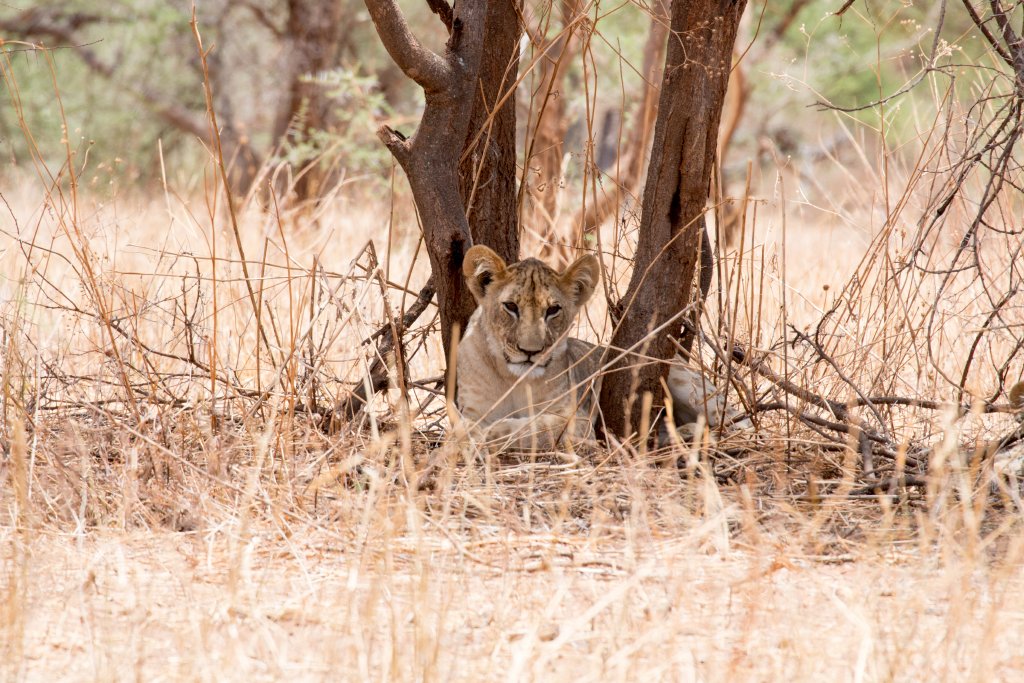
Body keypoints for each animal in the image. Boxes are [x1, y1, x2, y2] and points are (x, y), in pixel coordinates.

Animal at [455, 245, 752, 451]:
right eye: (510, 307)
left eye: (553, 310)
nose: (531, 351)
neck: (512, 378)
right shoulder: (471, 411)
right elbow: (469, 427)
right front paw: (475, 435)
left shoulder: (577, 419)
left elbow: (532, 427)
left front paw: (494, 432)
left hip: (683, 379)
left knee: (738, 424)